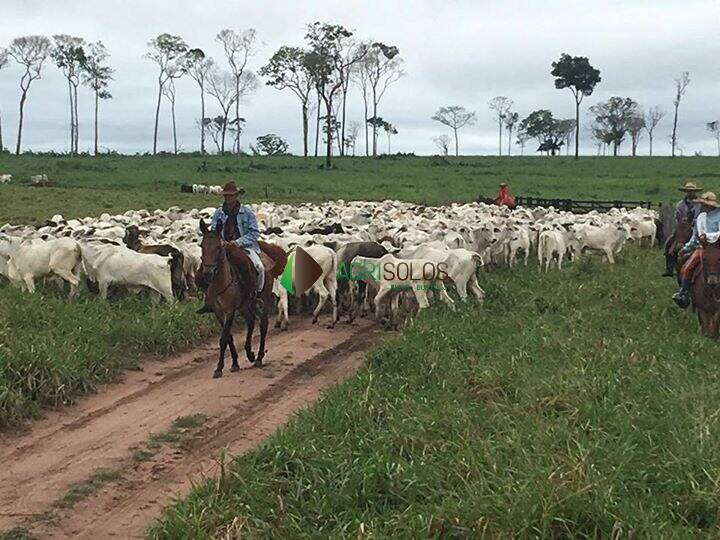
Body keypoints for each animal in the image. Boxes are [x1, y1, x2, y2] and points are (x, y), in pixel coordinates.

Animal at [200, 217, 286, 378]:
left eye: (218, 247)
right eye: (202, 245)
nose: (208, 273)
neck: (221, 283)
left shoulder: (230, 310)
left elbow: (223, 339)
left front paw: (219, 368)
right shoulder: (218, 312)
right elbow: (229, 337)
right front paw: (234, 363)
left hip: (263, 299)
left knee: (263, 325)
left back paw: (258, 358)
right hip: (244, 305)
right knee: (251, 321)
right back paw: (250, 353)